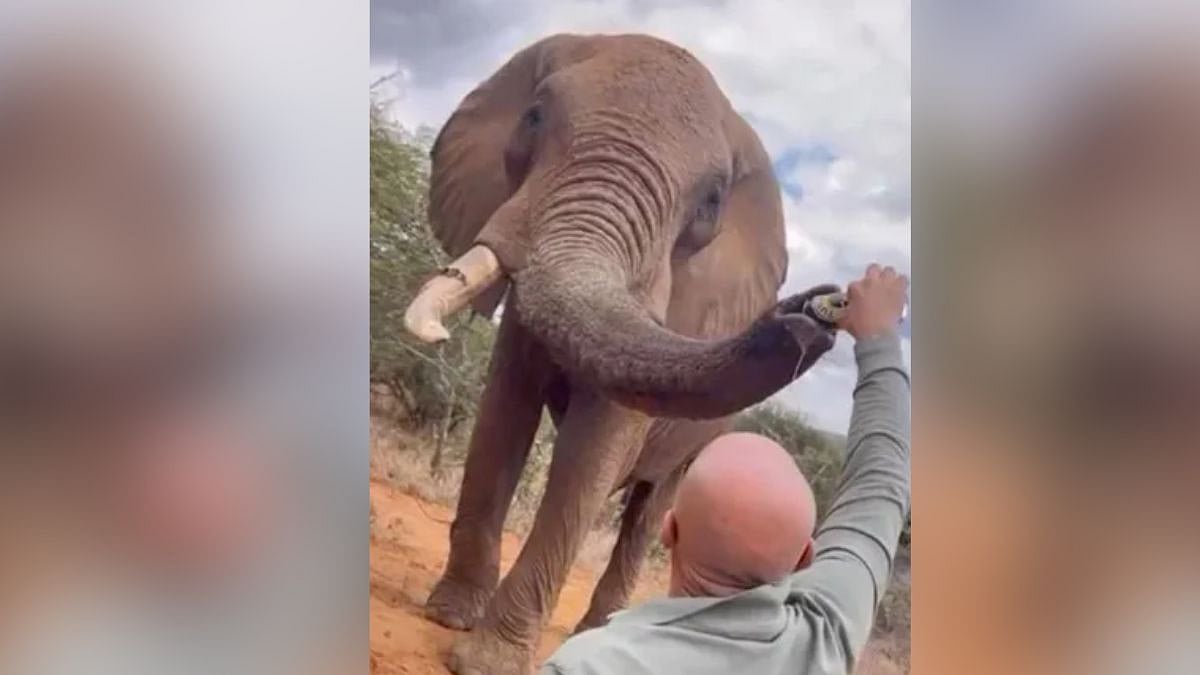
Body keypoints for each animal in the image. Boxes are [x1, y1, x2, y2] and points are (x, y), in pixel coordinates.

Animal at [403, 33, 838, 674]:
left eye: (710, 203)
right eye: (534, 118)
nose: (818, 309)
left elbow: (597, 445)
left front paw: (486, 661)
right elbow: (504, 411)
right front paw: (449, 616)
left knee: (651, 506)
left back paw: (610, 626)